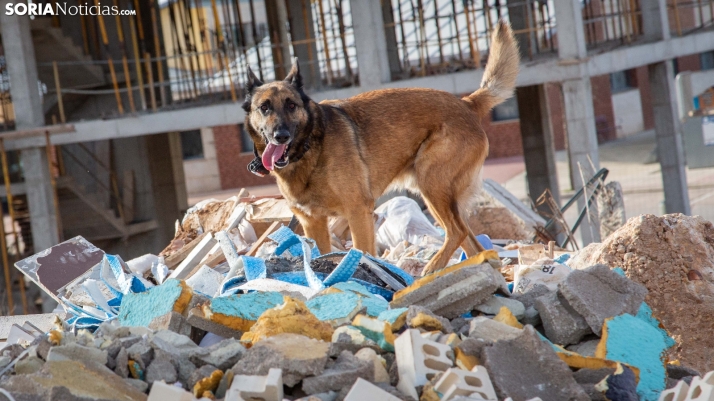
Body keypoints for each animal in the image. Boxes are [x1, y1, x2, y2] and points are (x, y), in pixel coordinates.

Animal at [242, 20, 516, 274]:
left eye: (291, 105)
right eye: (264, 107)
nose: (281, 136)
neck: (309, 147)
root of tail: (467, 103)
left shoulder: (358, 212)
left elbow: (363, 252)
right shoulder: (313, 223)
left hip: (431, 183)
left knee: (457, 232)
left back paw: (432, 268)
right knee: (473, 243)